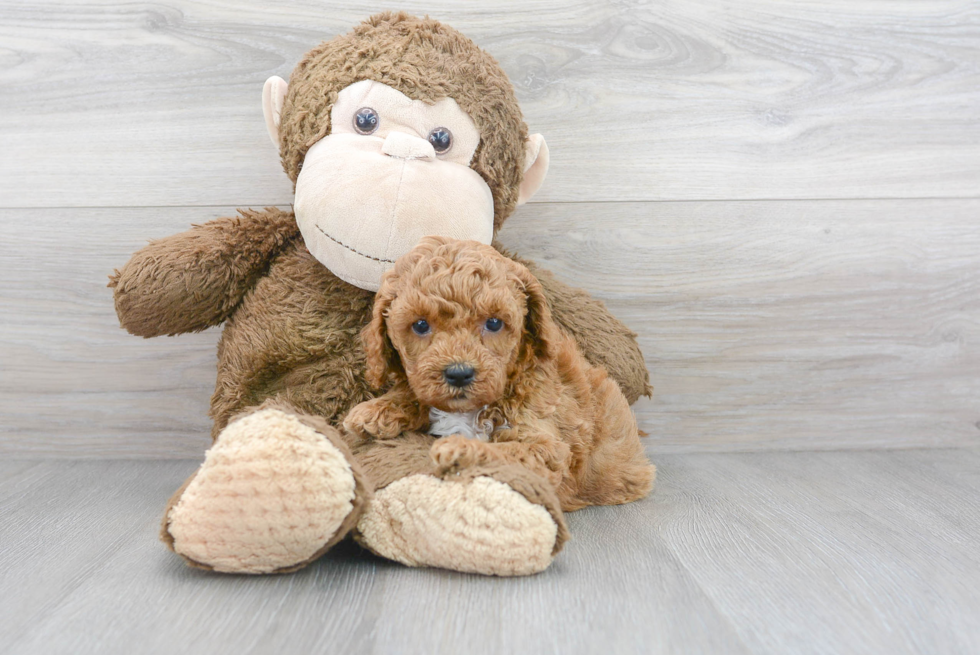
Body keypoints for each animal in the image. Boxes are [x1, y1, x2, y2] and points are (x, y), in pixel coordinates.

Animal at [340, 237, 656, 512]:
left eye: (493, 323)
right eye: (420, 325)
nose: (459, 374)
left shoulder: (548, 450)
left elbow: (504, 451)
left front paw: (459, 450)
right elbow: (420, 396)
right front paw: (376, 410)